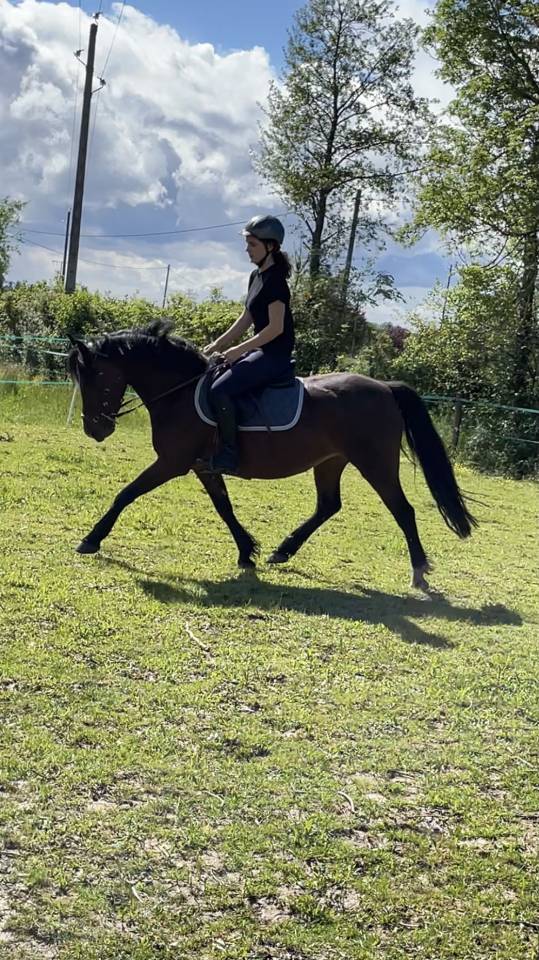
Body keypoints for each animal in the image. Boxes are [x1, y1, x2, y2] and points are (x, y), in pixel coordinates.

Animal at [68, 319, 476, 590]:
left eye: (95, 378)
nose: (95, 430)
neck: (180, 393)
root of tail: (385, 388)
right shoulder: (203, 467)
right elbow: (224, 507)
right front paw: (247, 552)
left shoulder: (172, 463)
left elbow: (126, 494)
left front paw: (91, 539)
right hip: (330, 462)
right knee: (328, 505)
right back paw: (283, 551)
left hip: (375, 464)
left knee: (402, 510)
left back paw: (419, 571)